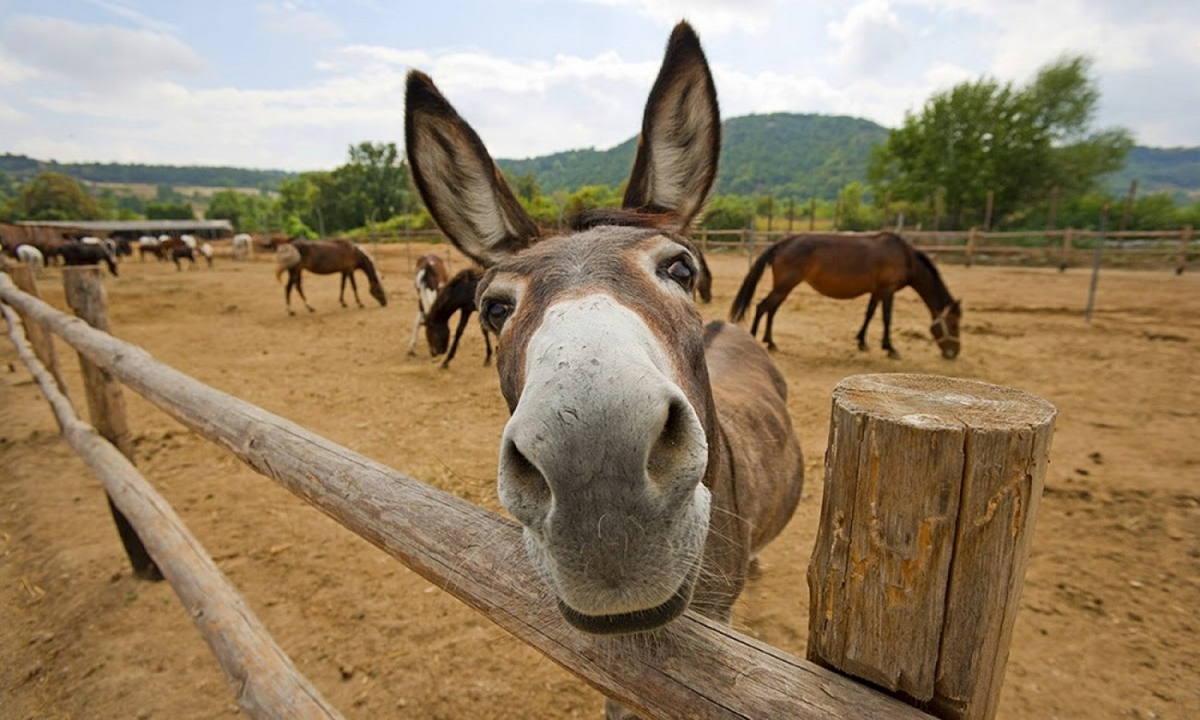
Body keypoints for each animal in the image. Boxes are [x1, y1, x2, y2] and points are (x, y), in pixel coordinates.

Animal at [724, 231, 960, 357]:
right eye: (954, 324)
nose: (954, 353)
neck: (905, 257)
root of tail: (783, 243)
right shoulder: (887, 290)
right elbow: (887, 318)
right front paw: (890, 347)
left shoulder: (876, 291)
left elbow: (869, 314)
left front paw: (862, 342)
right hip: (784, 286)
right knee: (762, 307)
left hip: (784, 288)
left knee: (770, 309)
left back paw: (770, 342)